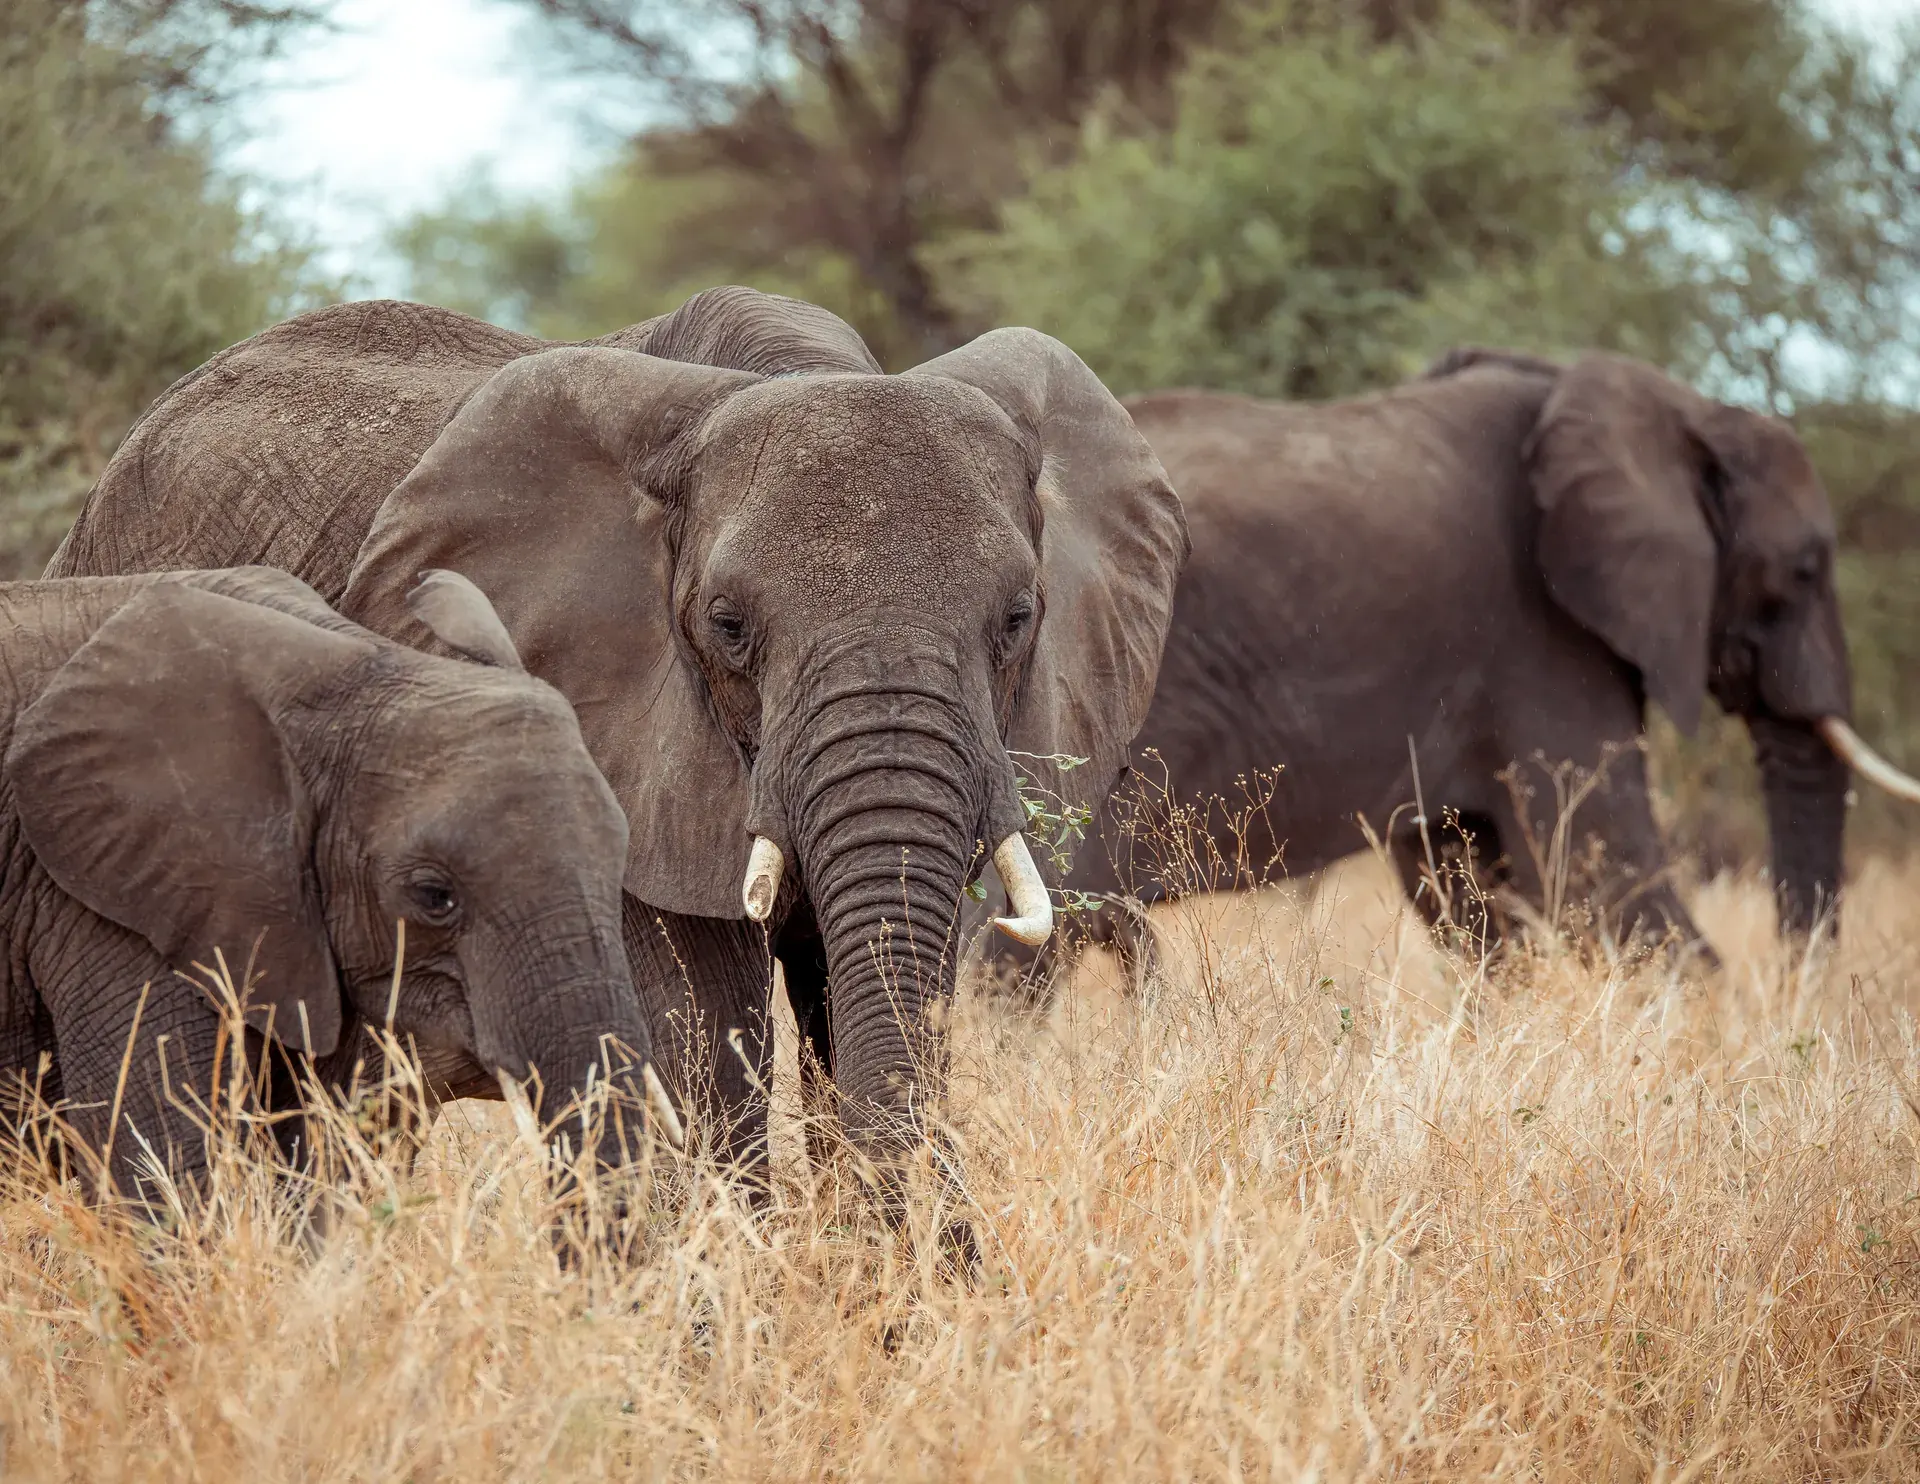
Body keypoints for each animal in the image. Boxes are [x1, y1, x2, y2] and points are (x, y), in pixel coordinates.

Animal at [976, 347, 1920, 990]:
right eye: (1804, 570)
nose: (1802, 991)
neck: (1676, 409)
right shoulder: (1541, 640)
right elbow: (1606, 884)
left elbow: (1471, 904)